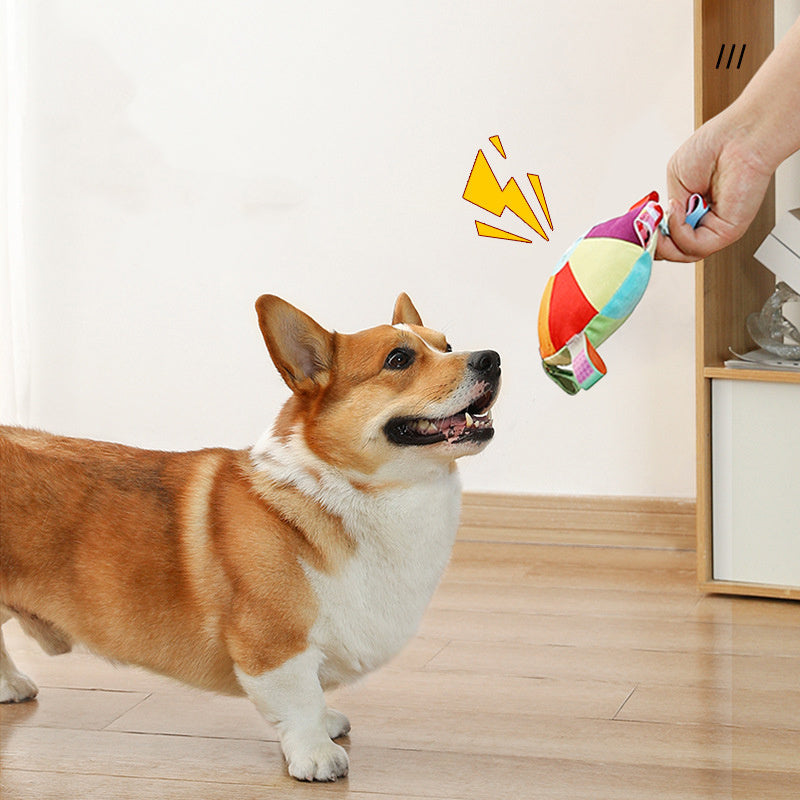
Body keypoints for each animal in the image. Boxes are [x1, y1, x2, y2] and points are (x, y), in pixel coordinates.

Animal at [0, 294, 500, 780]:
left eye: (447, 344)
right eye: (399, 359)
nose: (492, 359)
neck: (356, 491)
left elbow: (315, 694)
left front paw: (327, 723)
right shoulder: (273, 645)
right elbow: (300, 702)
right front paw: (316, 755)